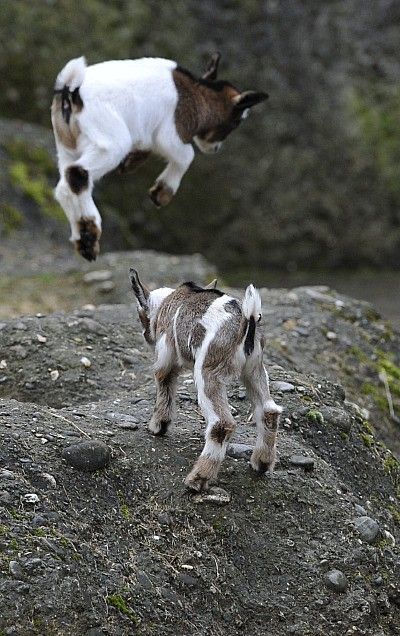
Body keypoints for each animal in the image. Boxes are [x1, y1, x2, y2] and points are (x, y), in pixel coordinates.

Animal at [50, 52, 268, 260]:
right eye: (236, 122)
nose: (215, 149)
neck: (196, 93)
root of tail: (71, 92)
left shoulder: (146, 132)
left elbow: (145, 146)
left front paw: (130, 164)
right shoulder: (169, 134)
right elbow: (187, 155)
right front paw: (161, 193)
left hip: (67, 148)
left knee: (64, 188)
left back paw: (85, 241)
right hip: (109, 142)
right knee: (77, 173)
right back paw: (90, 233)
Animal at [130, 268, 282, 492]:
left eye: (141, 314)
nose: (146, 335)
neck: (168, 301)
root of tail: (247, 324)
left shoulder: (166, 355)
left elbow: (164, 382)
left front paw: (158, 426)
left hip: (208, 372)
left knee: (222, 424)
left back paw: (197, 479)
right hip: (254, 370)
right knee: (269, 411)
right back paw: (261, 463)